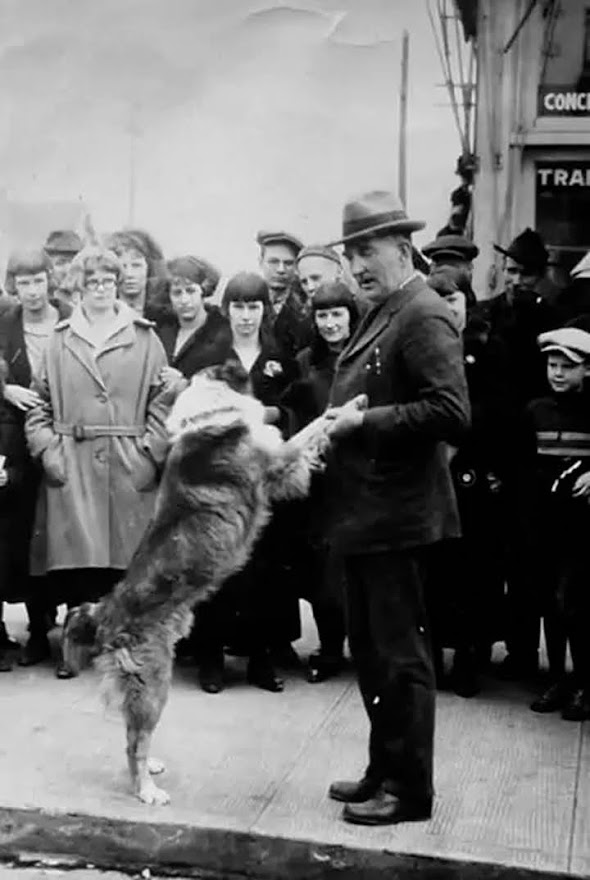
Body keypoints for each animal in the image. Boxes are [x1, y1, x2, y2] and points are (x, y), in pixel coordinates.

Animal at [61, 368, 338, 808]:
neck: (211, 414)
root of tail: (106, 613)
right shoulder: (279, 464)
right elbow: (314, 428)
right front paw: (349, 406)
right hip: (153, 682)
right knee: (135, 742)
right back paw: (147, 790)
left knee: (131, 734)